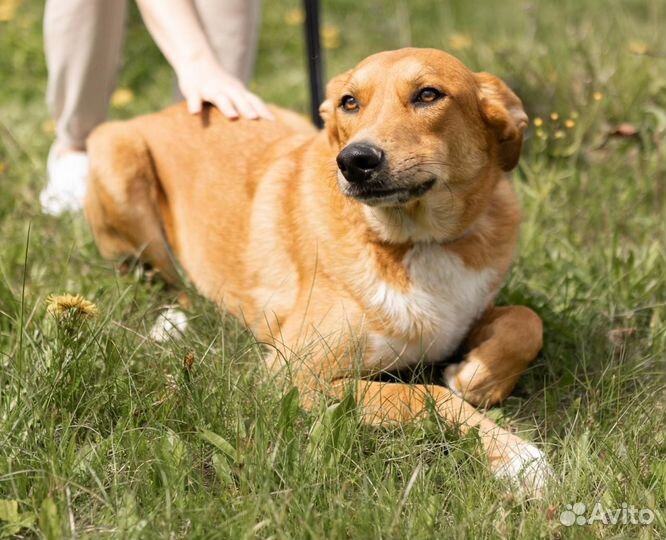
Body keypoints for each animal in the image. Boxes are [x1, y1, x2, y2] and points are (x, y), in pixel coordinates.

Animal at [85, 48, 548, 496]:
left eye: (428, 95)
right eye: (350, 102)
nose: (355, 160)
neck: (414, 241)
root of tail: (169, 110)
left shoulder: (466, 314)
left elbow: (527, 322)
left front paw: (476, 378)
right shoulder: (294, 375)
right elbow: (424, 394)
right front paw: (517, 457)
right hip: (113, 154)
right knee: (161, 278)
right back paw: (174, 321)